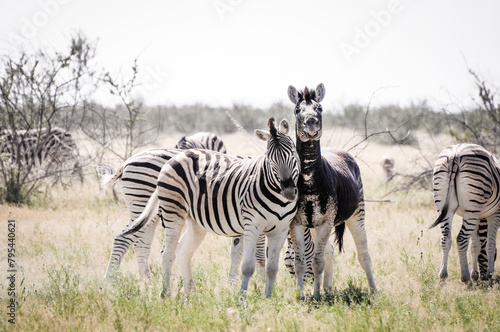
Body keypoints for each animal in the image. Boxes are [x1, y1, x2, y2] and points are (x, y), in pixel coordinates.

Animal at [103, 131, 229, 278]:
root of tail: (126, 163)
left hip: (148, 213)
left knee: (140, 243)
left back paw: (146, 280)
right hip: (143, 201)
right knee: (125, 239)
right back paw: (110, 280)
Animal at [121, 118, 300, 296]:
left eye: (293, 154)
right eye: (269, 159)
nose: (289, 191)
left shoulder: (280, 229)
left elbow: (268, 266)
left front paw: (265, 296)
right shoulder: (253, 225)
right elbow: (252, 262)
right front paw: (245, 294)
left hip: (194, 221)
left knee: (180, 251)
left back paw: (188, 293)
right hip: (170, 210)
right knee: (165, 252)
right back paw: (164, 294)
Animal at [284, 83, 376, 298]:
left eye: (320, 108)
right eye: (297, 110)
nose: (311, 123)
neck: (309, 180)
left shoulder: (325, 222)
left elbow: (317, 262)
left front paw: (315, 296)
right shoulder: (296, 223)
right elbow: (300, 262)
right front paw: (301, 296)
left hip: (357, 213)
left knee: (363, 254)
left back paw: (374, 291)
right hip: (315, 226)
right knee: (330, 251)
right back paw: (327, 289)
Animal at [430, 143, 500, 282]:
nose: (483, 277)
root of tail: (455, 154)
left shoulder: (478, 216)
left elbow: (475, 245)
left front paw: (475, 274)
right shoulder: (495, 214)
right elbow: (490, 244)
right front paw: (490, 275)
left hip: (445, 205)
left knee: (446, 237)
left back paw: (443, 277)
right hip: (471, 207)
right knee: (461, 238)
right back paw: (466, 278)